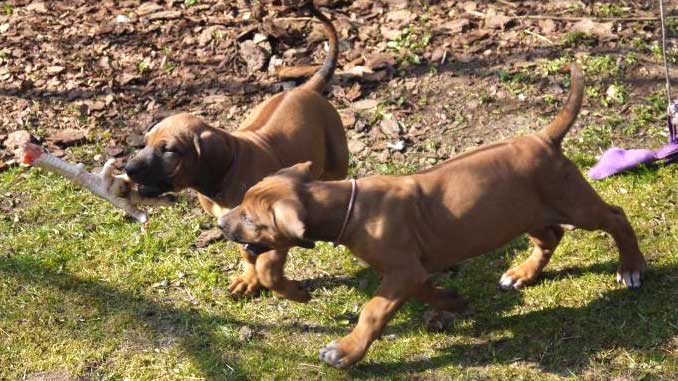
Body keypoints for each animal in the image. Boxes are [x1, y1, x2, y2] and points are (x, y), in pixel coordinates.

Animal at [125, 2, 348, 302]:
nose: (128, 169)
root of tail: (305, 88)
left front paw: (290, 291)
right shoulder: (236, 226)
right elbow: (247, 254)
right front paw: (249, 280)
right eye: (145, 142)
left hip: (337, 160)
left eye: (168, 150)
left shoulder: (274, 232)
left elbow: (268, 267)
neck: (226, 174)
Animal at [218, 63, 648, 366]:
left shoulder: (403, 271)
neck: (348, 205)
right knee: (551, 237)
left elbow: (373, 311)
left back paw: (631, 267)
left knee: (615, 217)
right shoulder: (410, 270)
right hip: (522, 212)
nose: (221, 224)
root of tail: (543, 138)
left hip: (573, 202)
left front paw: (346, 350)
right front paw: (453, 302)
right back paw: (523, 273)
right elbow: (423, 290)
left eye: (252, 220)